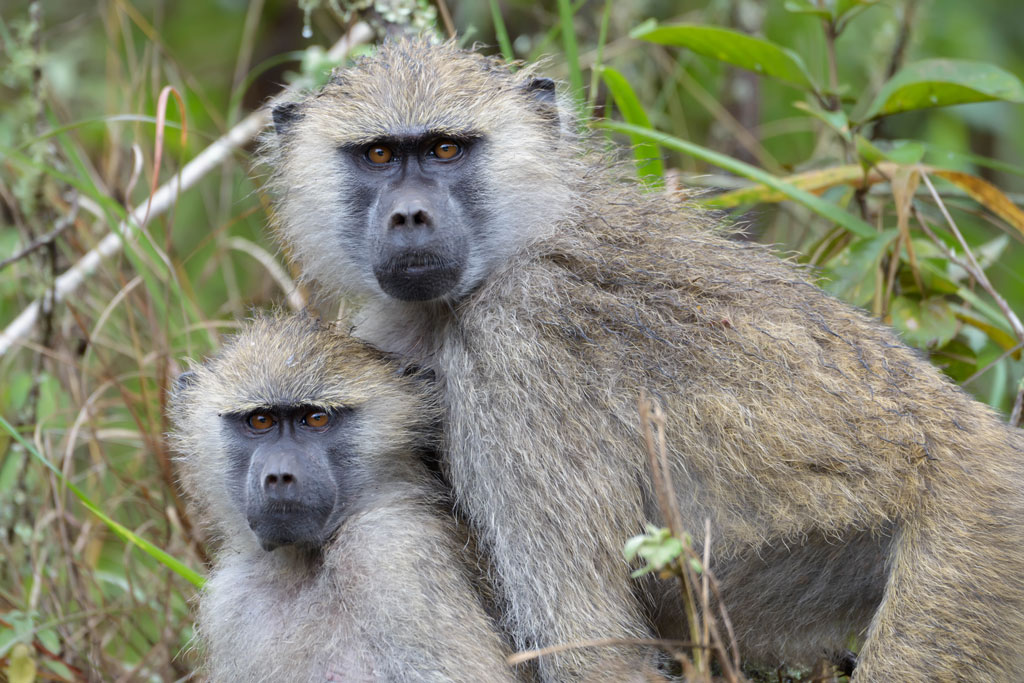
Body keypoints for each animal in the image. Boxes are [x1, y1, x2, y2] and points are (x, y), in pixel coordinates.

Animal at [168, 313, 524, 683]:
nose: (279, 476)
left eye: (316, 418)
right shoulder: (231, 598)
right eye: (260, 420)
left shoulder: (391, 551)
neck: (306, 566)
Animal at [265, 39, 1024, 681]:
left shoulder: (517, 346)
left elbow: (588, 646)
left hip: (973, 552)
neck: (518, 241)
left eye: (446, 149)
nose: (409, 217)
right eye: (379, 155)